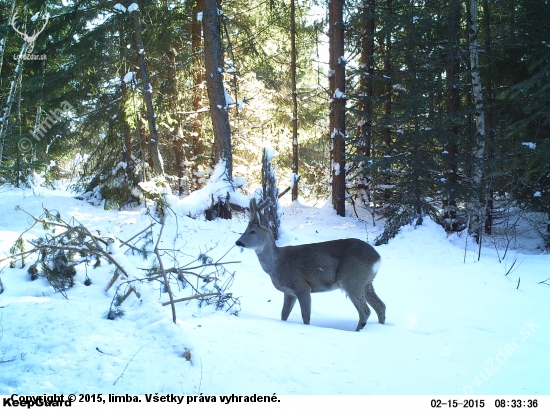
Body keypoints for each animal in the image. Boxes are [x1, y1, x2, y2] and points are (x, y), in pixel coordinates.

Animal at [238, 197, 388, 332]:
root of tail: (378, 258)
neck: (277, 265)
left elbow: (306, 316)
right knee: (381, 306)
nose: (238, 242)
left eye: (252, 231)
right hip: (367, 282)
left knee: (365, 311)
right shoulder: (289, 292)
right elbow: (283, 315)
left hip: (351, 279)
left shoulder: (302, 286)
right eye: (245, 230)